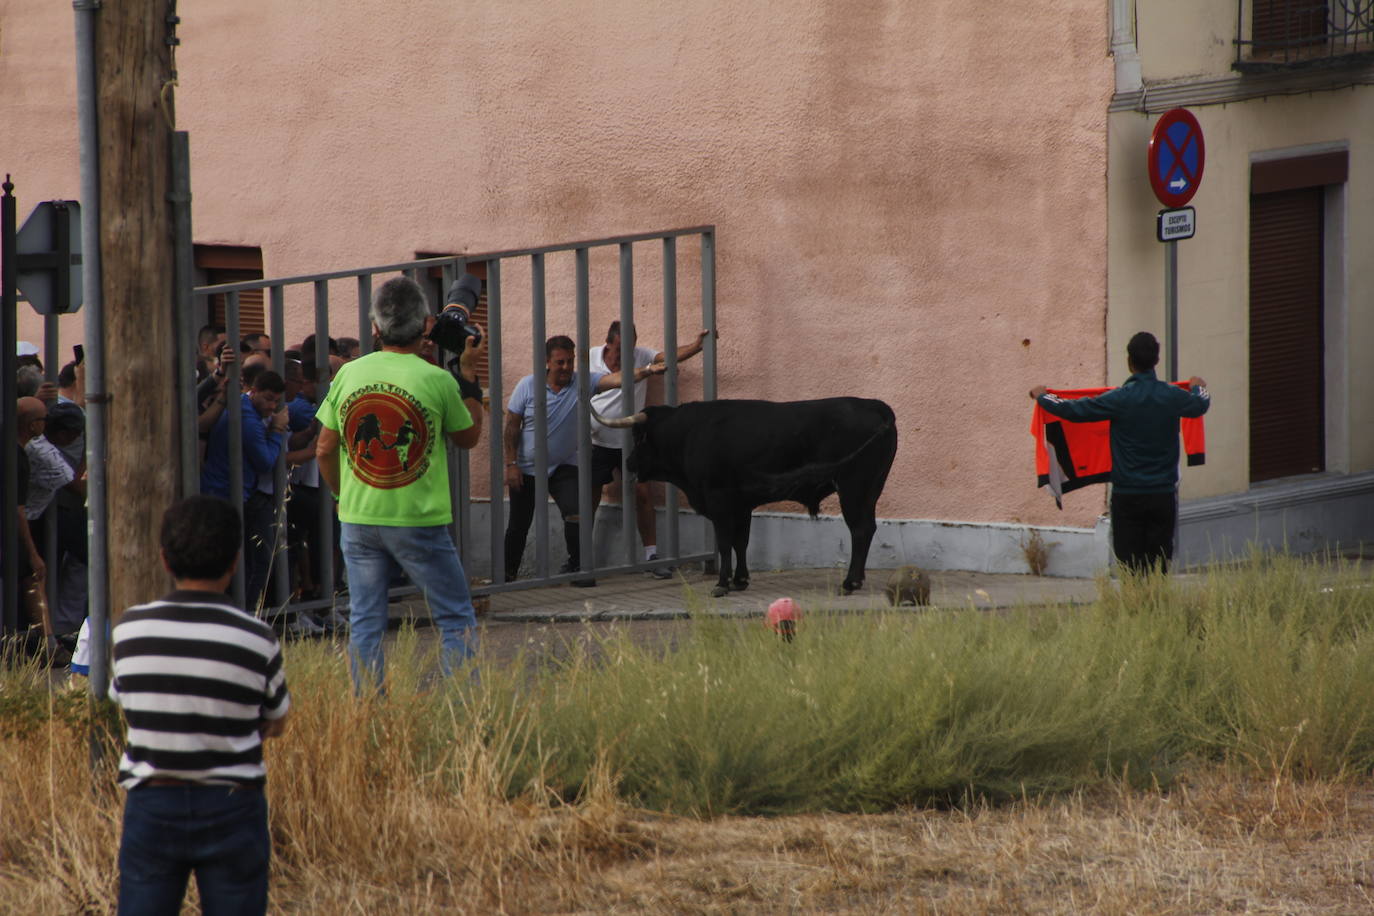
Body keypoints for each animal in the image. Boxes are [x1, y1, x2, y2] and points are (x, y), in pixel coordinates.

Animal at [593, 398, 901, 598]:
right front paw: (740, 580)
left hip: (854, 487)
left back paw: (849, 583)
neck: (691, 433)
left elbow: (724, 542)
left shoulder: (719, 501)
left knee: (860, 530)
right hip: (872, 488)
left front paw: (722, 583)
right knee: (867, 528)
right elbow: (741, 541)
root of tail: (876, 406)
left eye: (639, 437)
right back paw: (856, 580)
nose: (629, 462)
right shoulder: (741, 505)